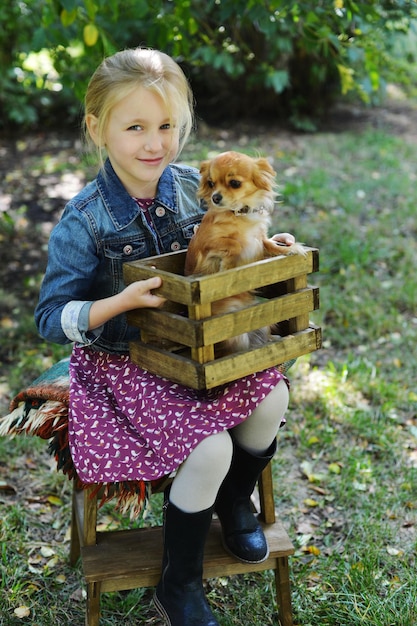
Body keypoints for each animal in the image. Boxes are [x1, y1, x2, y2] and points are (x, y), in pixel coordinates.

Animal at [184, 151, 304, 354]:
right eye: (211, 183)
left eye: (234, 183)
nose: (215, 197)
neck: (240, 213)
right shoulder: (206, 243)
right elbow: (234, 244)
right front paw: (228, 266)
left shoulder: (259, 239)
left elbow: (270, 244)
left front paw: (290, 248)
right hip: (229, 332)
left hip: (259, 323)